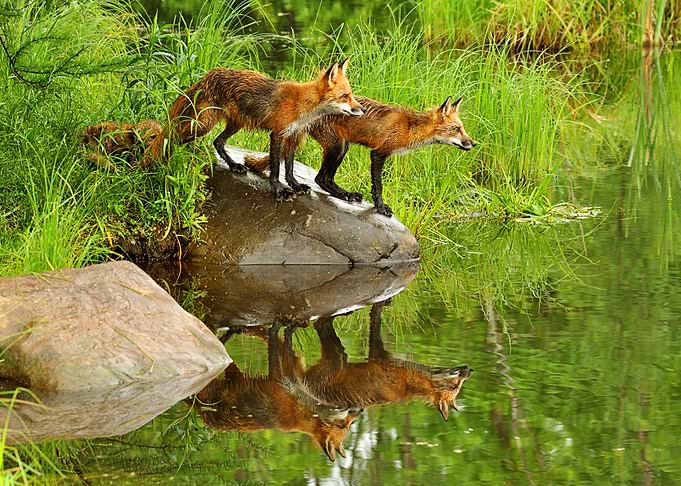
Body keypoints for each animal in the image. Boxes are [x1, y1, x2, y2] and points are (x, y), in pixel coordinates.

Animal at [144, 59, 364, 200]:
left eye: (351, 94)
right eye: (345, 96)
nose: (361, 110)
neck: (303, 106)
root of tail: (208, 75)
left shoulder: (292, 135)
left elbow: (289, 167)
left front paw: (294, 185)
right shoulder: (278, 134)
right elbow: (276, 168)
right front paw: (278, 190)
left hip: (236, 123)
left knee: (218, 142)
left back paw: (234, 165)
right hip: (202, 125)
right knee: (172, 138)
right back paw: (164, 160)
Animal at [193, 321, 362, 462]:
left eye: (350, 425)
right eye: (342, 425)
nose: (359, 410)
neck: (300, 408)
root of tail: (202, 414)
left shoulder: (290, 376)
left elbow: (285, 345)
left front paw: (289, 328)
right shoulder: (277, 379)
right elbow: (276, 341)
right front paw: (280, 325)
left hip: (234, 377)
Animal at [245, 95, 476, 216]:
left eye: (463, 128)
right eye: (457, 129)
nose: (473, 143)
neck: (410, 128)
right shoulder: (379, 153)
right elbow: (378, 186)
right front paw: (380, 207)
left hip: (339, 147)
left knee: (314, 174)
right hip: (338, 147)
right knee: (321, 178)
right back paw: (344, 195)